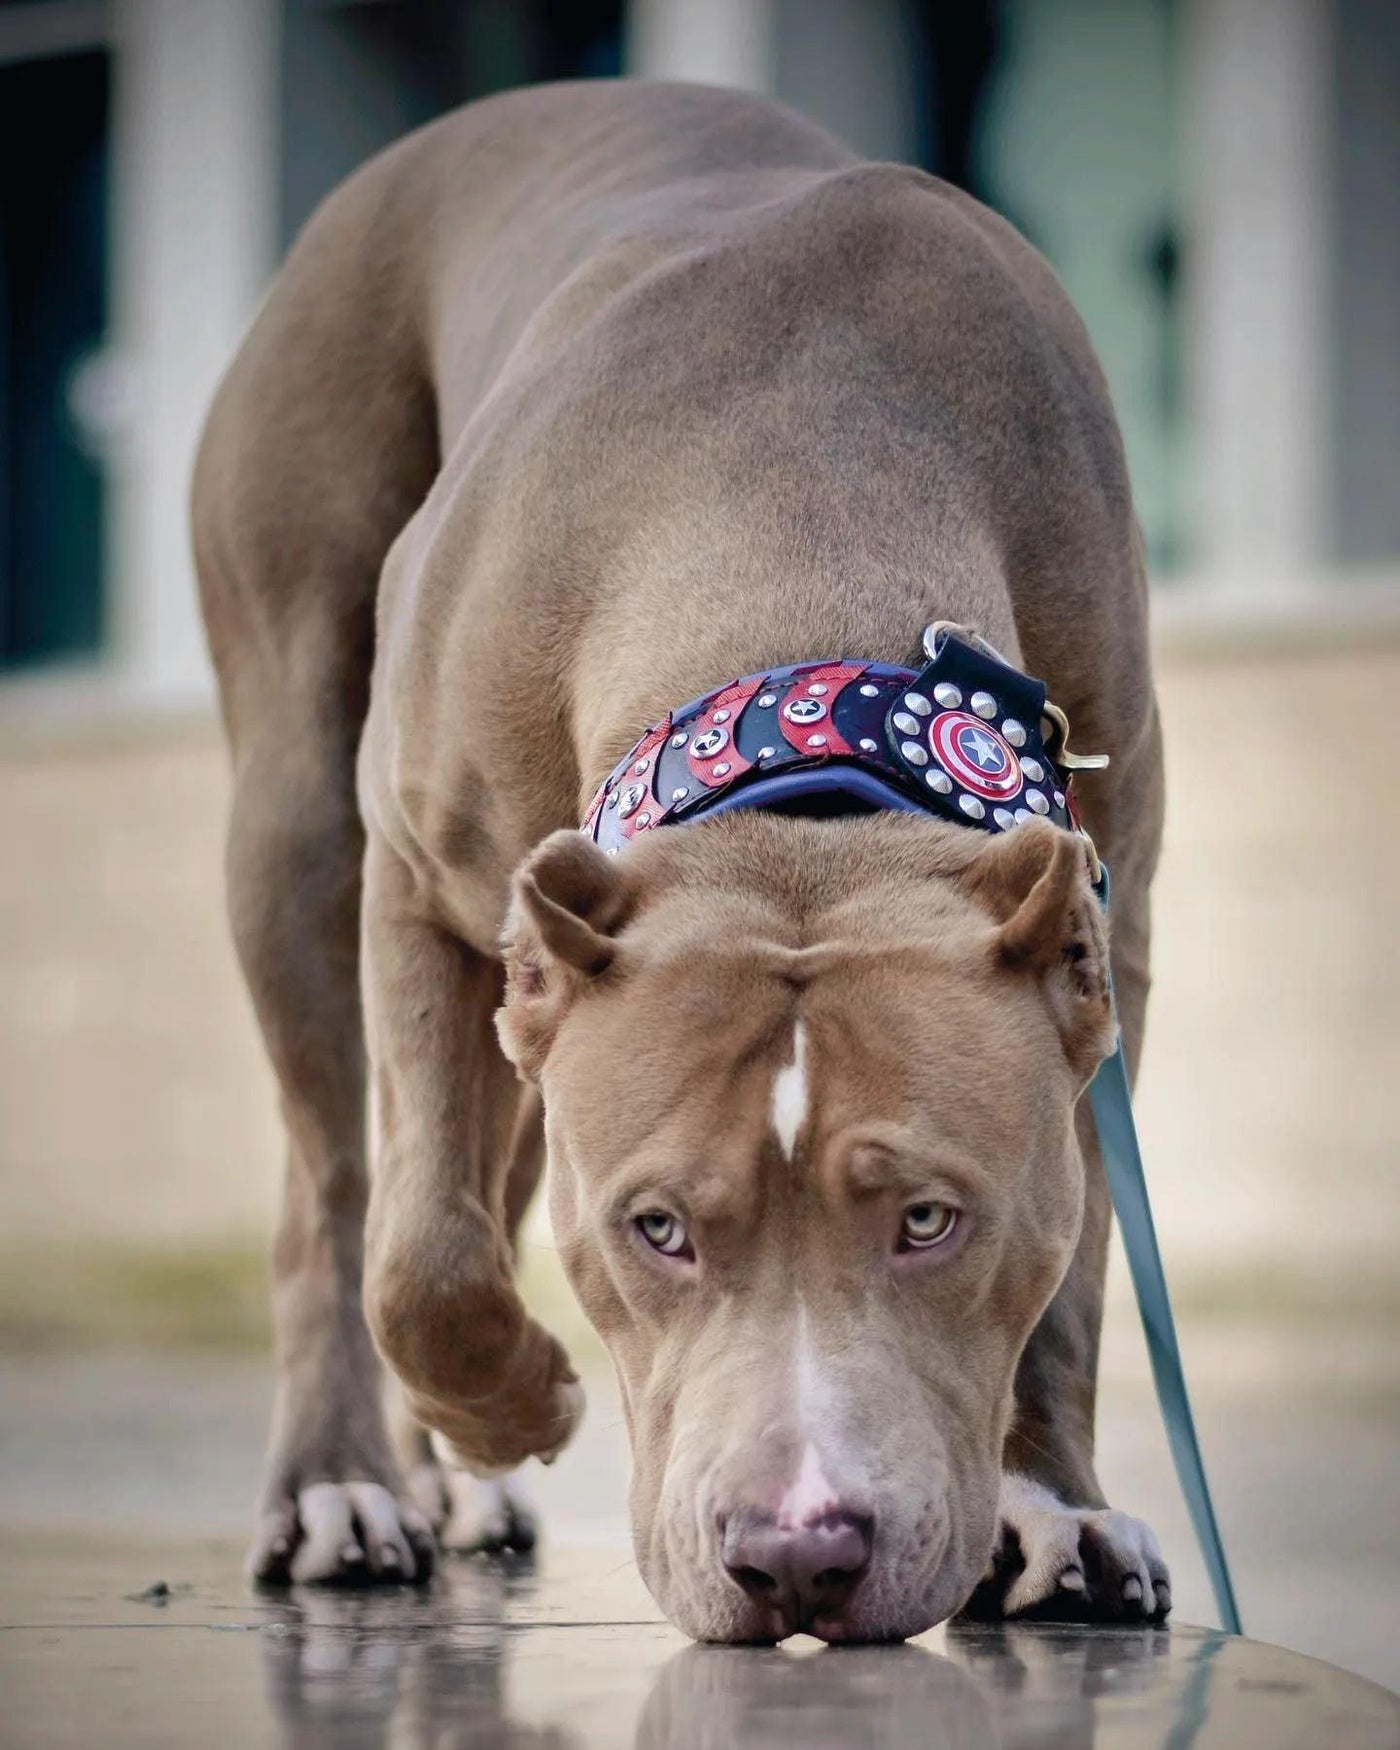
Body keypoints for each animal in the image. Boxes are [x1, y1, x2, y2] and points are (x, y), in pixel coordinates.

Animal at [191, 78, 1162, 1638]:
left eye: (931, 1219)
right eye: (655, 1228)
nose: (800, 1552)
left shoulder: (1103, 935)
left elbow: (1072, 1277)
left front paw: (1052, 1504)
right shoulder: (413, 879)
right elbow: (422, 1254)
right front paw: (518, 1403)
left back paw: (443, 1482)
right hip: (296, 816)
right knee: (341, 1191)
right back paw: (346, 1482)